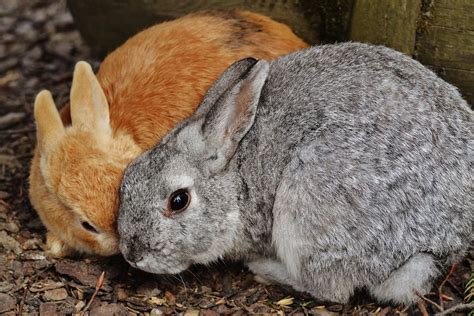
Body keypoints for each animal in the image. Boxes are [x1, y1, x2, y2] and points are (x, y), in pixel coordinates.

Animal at [116, 43, 472, 304]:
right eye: (127, 181)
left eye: (178, 201)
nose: (132, 254)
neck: (238, 177)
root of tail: (439, 244)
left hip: (309, 201)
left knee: (331, 288)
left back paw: (265, 269)